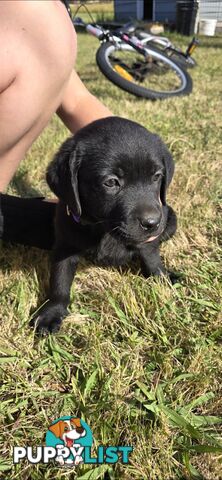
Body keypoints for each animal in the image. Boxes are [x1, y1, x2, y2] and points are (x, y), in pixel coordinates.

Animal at [32, 116, 177, 334]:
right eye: (111, 182)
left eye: (157, 176)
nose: (152, 223)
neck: (104, 228)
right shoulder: (65, 244)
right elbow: (59, 280)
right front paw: (52, 312)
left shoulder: (148, 239)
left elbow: (152, 258)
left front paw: (163, 278)